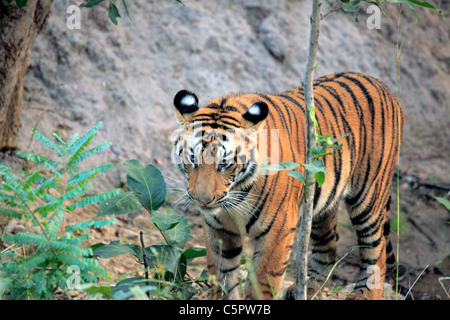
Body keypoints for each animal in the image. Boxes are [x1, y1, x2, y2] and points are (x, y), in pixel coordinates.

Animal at [171, 71, 404, 298]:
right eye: (193, 160)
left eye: (224, 164)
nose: (202, 200)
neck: (235, 194)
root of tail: (385, 88)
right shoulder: (218, 229)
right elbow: (221, 278)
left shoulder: (278, 231)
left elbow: (262, 285)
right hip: (321, 203)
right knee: (329, 242)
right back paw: (307, 289)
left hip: (368, 198)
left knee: (376, 251)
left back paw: (364, 294)